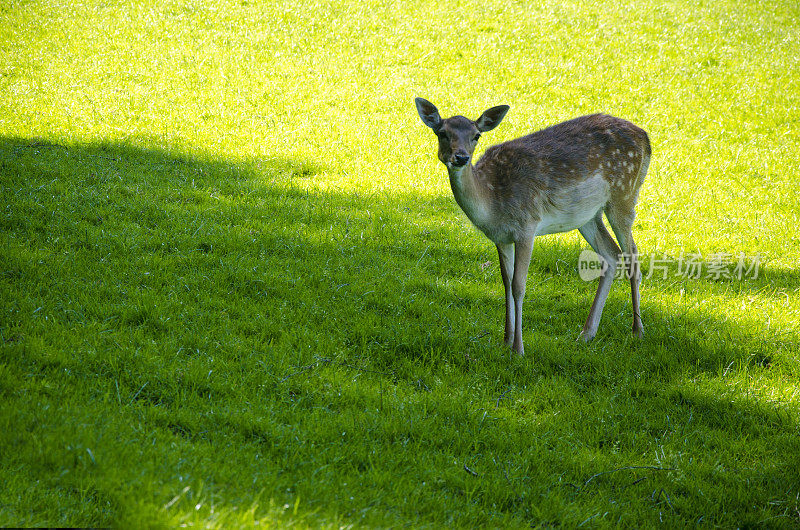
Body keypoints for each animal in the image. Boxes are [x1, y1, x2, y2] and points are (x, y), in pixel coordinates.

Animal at [416, 98, 652, 354]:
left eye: (476, 135)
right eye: (442, 133)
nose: (460, 157)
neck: (492, 203)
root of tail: (646, 138)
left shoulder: (526, 226)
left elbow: (519, 285)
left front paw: (518, 348)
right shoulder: (501, 237)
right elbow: (506, 283)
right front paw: (505, 340)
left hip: (625, 193)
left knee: (633, 255)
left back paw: (637, 331)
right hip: (587, 216)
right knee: (611, 254)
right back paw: (586, 334)